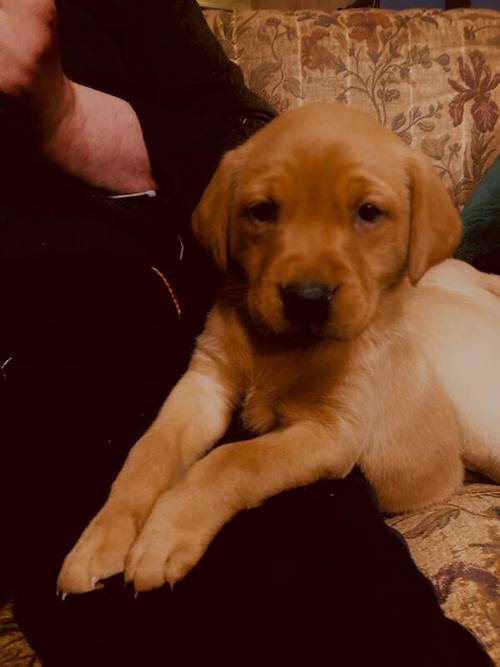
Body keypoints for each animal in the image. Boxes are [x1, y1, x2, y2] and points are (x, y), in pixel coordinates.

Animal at [56, 102, 500, 592]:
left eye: (368, 213)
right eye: (262, 211)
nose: (307, 298)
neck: (280, 350)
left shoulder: (331, 433)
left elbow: (233, 460)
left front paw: (165, 535)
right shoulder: (204, 383)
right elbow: (149, 451)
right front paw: (103, 537)